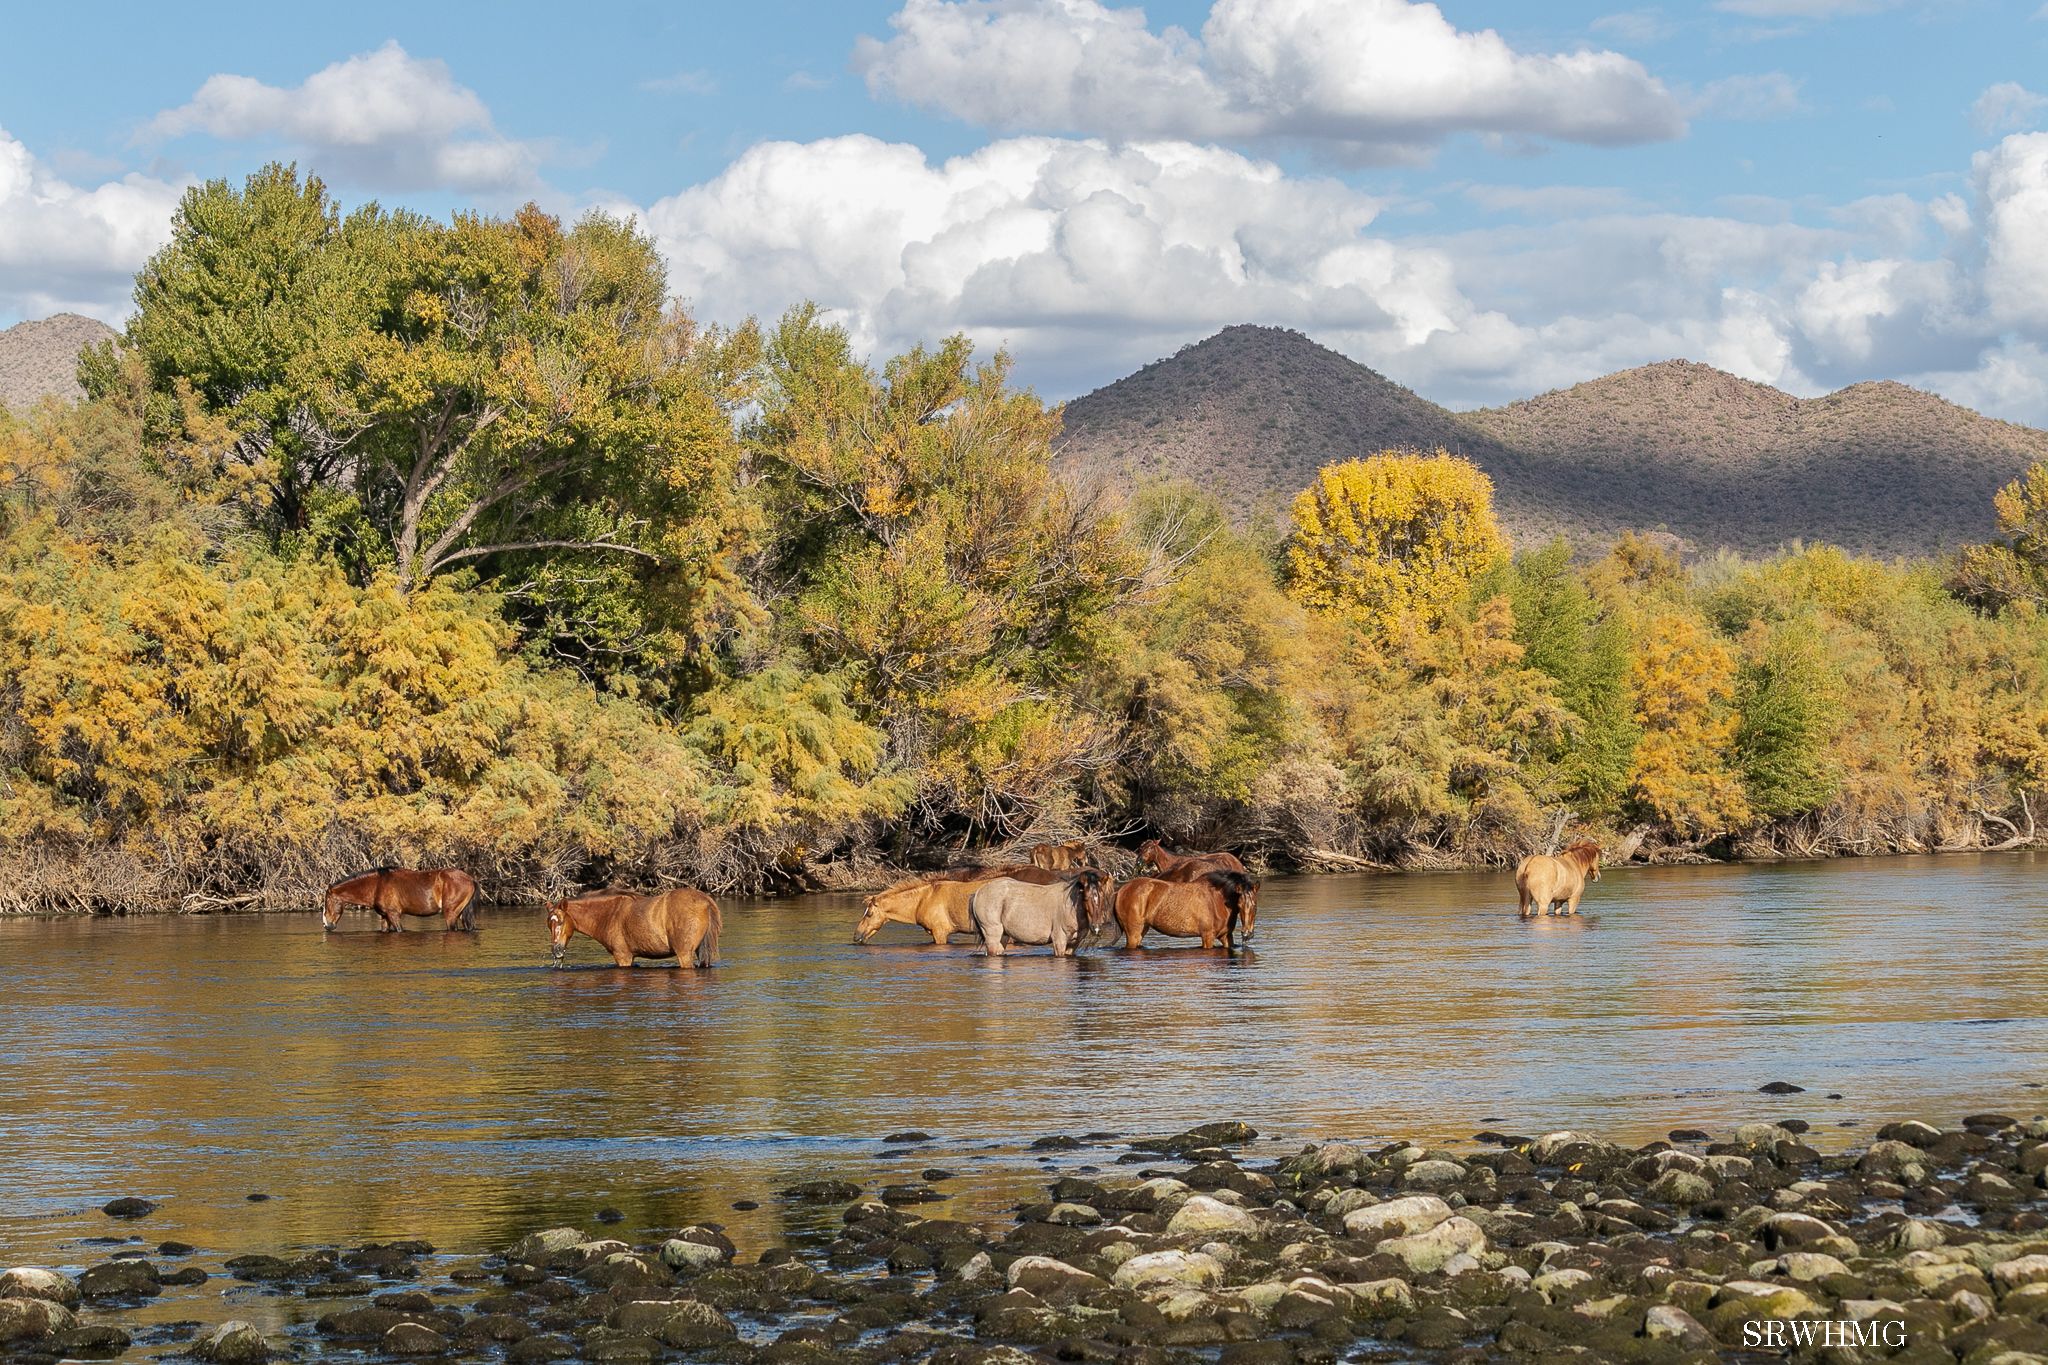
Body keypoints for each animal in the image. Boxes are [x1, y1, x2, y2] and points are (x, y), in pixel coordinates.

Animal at [323, 868, 478, 932]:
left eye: (328, 902)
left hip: (451, 914)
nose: (326, 925)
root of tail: (470, 878)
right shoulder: (385, 916)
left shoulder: (394, 914)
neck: (377, 884)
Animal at [547, 887, 722, 967]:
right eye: (549, 925)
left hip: (684, 954)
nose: (556, 951)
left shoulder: (623, 957)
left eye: (560, 921)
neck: (610, 913)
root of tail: (705, 900)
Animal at [970, 871, 1112, 957]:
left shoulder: (1073, 944)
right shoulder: (1059, 940)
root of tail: (978, 892)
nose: (1097, 928)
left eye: (1102, 896)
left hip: (1003, 937)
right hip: (992, 934)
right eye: (1086, 898)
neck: (1070, 908)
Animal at [1113, 869, 1256, 950]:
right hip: (1133, 933)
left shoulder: (1226, 936)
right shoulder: (1207, 936)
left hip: (1142, 930)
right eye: (1240, 904)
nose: (1247, 934)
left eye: (1254, 905)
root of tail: (1121, 890)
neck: (1217, 899)